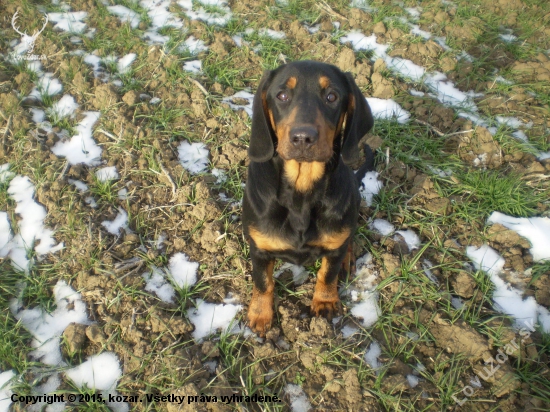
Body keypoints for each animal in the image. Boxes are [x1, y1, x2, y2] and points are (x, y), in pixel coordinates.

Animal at [245, 62, 378, 338]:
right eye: (282, 95)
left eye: (332, 97)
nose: (303, 138)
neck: (301, 190)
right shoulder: (259, 248)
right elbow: (263, 282)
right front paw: (260, 314)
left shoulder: (333, 247)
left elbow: (327, 274)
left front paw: (325, 301)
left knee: (349, 238)